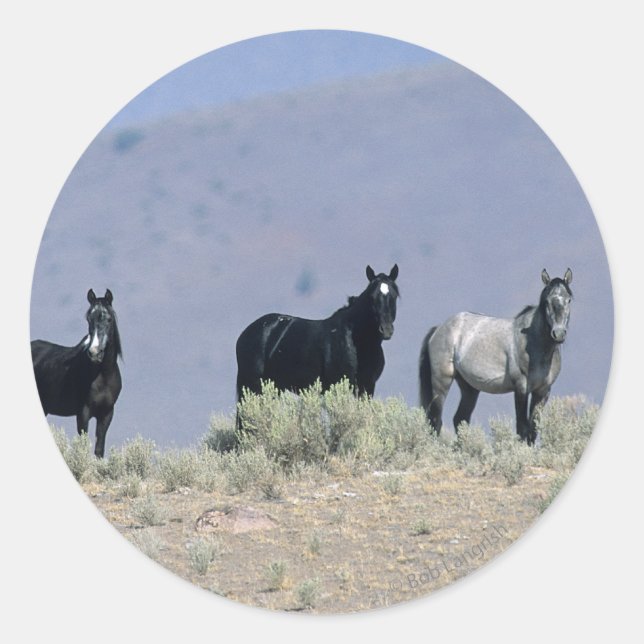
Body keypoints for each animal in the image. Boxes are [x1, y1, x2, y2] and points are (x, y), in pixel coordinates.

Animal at [31, 289, 122, 458]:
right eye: (88, 319)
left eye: (109, 319)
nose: (94, 352)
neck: (103, 375)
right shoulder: (83, 412)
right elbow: (83, 446)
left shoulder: (106, 414)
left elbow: (99, 450)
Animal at [235, 264, 400, 413]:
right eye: (372, 297)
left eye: (394, 296)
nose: (386, 330)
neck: (356, 341)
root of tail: (245, 333)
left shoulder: (367, 387)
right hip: (252, 385)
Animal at [419, 269, 572, 445]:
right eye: (547, 301)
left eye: (568, 300)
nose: (558, 333)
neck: (534, 343)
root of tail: (439, 328)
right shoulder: (521, 388)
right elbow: (522, 428)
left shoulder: (543, 391)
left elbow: (533, 431)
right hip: (441, 382)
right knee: (435, 421)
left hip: (469, 388)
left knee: (460, 419)